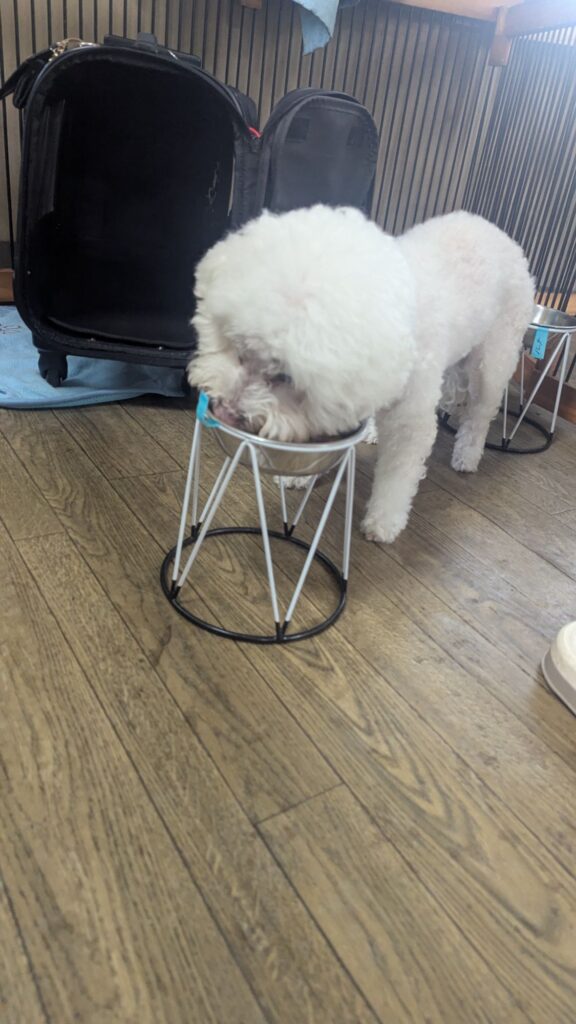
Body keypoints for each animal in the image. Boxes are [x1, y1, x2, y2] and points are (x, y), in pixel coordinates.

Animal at [188, 205, 534, 543]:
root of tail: (495, 230)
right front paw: (300, 476)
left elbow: (397, 478)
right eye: (239, 349)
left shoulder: (410, 424)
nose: (226, 412)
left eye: (286, 377)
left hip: (492, 362)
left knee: (480, 415)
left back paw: (467, 456)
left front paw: (384, 522)